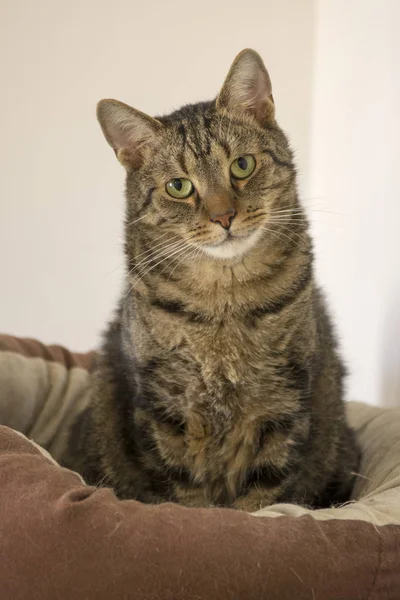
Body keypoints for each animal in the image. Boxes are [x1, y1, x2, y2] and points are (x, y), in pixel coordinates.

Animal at [62, 50, 360, 510]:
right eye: (179, 187)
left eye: (242, 165)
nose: (224, 216)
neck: (225, 299)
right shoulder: (168, 408)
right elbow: (189, 496)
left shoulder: (281, 401)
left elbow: (261, 497)